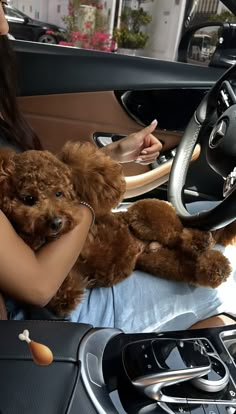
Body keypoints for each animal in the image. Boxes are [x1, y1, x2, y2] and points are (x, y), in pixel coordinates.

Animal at [0, 144, 232, 316]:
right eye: (29, 199)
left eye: (59, 194)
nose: (56, 222)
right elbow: (62, 290)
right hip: (158, 261)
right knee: (186, 265)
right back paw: (214, 267)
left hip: (150, 218)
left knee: (180, 232)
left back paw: (200, 241)